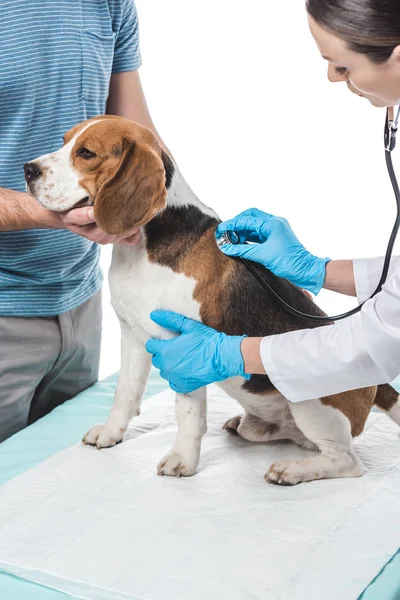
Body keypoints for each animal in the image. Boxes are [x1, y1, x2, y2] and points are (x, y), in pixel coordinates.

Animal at [25, 115, 400, 486]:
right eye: (65, 140)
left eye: (86, 153)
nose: (28, 169)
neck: (146, 245)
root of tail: (375, 382)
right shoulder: (132, 336)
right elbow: (125, 394)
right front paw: (111, 433)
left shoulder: (181, 349)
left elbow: (188, 413)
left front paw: (182, 460)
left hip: (310, 401)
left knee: (347, 461)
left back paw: (292, 469)